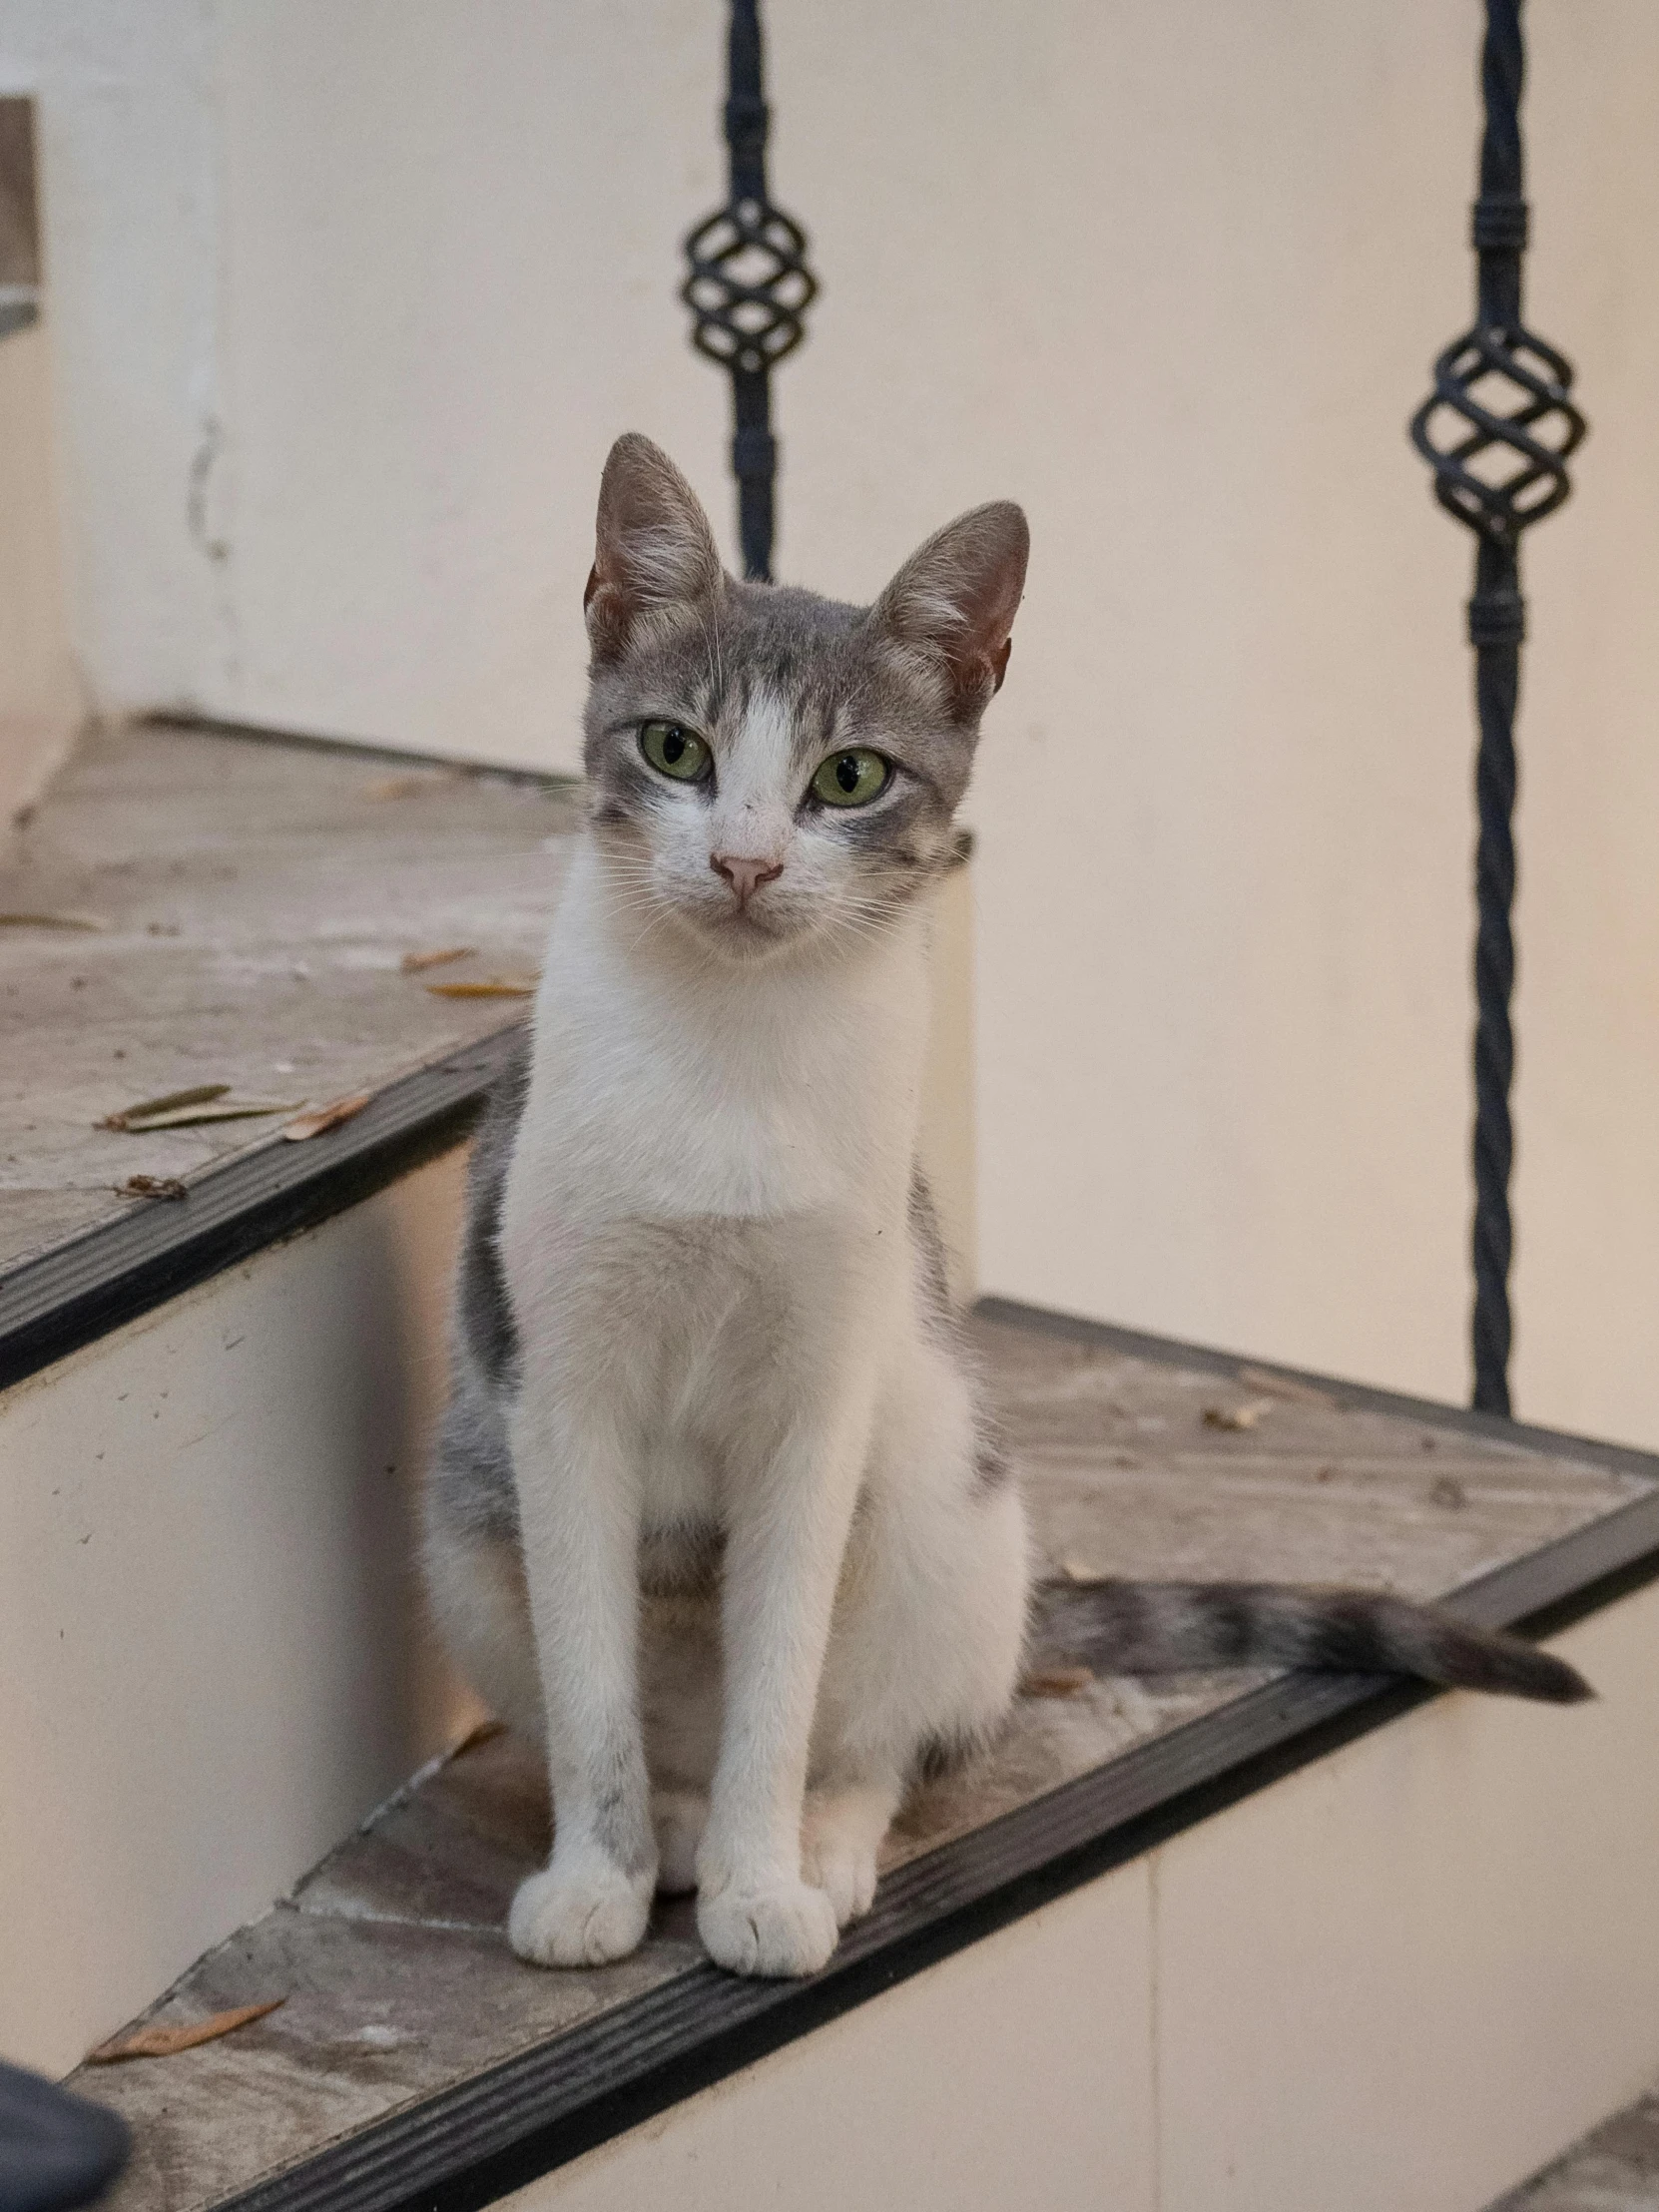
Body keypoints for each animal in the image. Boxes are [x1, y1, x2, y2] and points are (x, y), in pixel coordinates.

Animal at [422, 435, 1592, 1990]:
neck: (730, 1052)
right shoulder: (558, 1394)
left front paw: (760, 1880)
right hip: (467, 1518)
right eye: (675, 749)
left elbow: (783, 1680)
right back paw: (665, 1830)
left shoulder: (821, 1397)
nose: (743, 863)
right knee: (629, 1709)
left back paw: (808, 1846)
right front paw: (594, 1878)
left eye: (850, 776)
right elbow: (592, 1690)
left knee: (887, 1738)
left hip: (938, 1494)